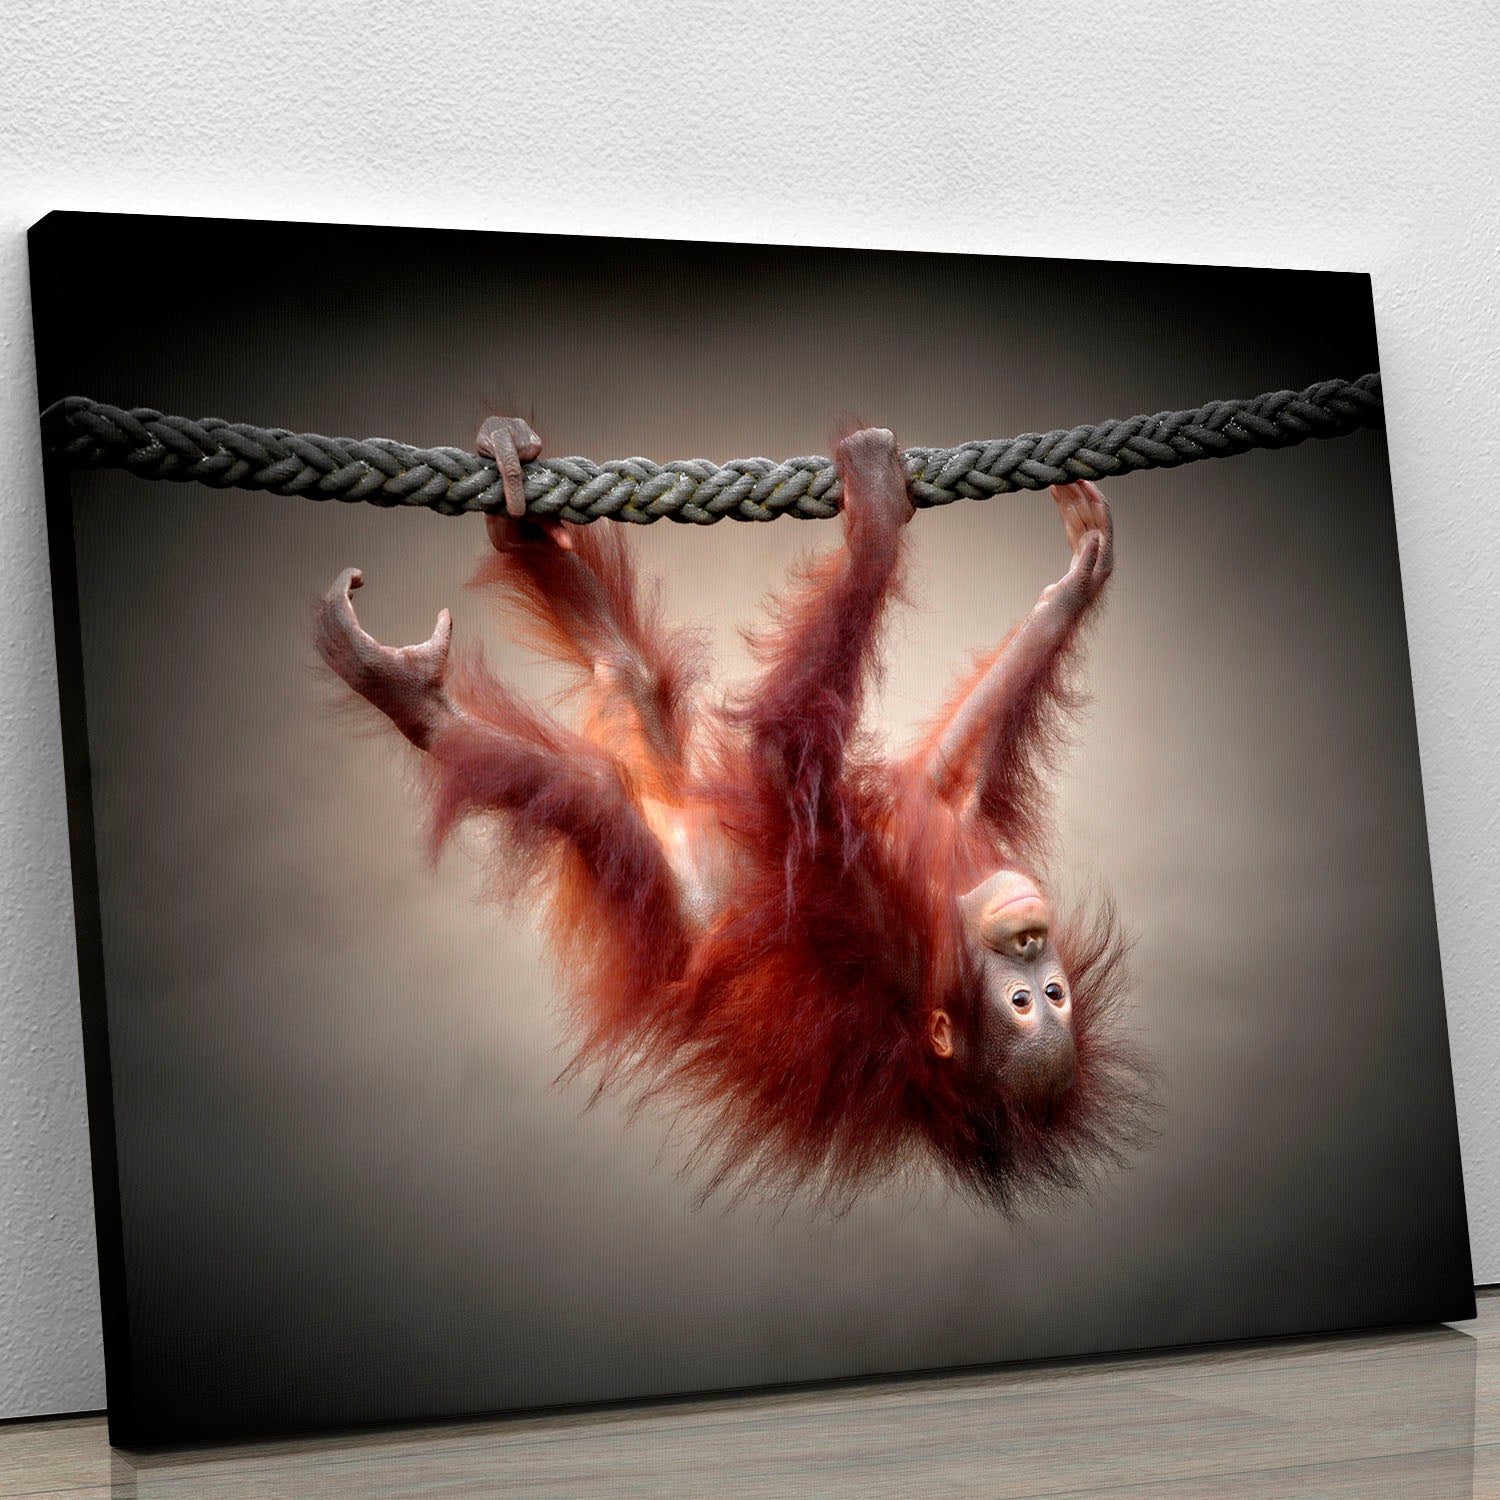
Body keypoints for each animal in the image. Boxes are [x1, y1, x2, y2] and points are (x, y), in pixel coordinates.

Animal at [316, 418, 1153, 1212]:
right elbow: (952, 773)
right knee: (629, 671)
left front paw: (877, 517)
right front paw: (1078, 574)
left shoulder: (879, 946)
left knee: (582, 786)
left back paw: (409, 692)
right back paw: (514, 496)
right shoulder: (935, 866)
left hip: (642, 870)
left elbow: (783, 755)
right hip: (654, 752)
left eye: (1041, 1001)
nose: (1032, 941)